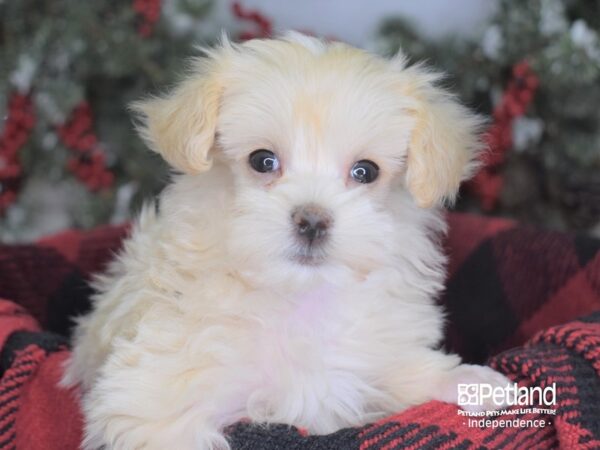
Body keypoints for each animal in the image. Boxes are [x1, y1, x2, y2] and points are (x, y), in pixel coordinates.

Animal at [62, 32, 510, 450]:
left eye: (365, 171)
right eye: (263, 161)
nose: (312, 221)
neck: (298, 297)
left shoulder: (373, 360)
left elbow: (411, 370)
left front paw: (474, 383)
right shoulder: (154, 397)